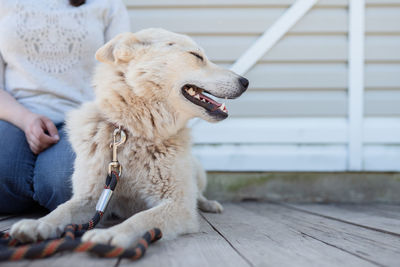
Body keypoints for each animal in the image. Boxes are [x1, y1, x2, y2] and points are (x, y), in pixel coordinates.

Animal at [10, 28, 247, 248]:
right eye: (196, 56)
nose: (245, 82)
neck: (135, 132)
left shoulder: (179, 204)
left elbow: (141, 219)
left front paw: (111, 234)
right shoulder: (92, 196)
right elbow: (62, 211)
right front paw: (37, 224)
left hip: (197, 173)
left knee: (198, 194)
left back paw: (209, 204)